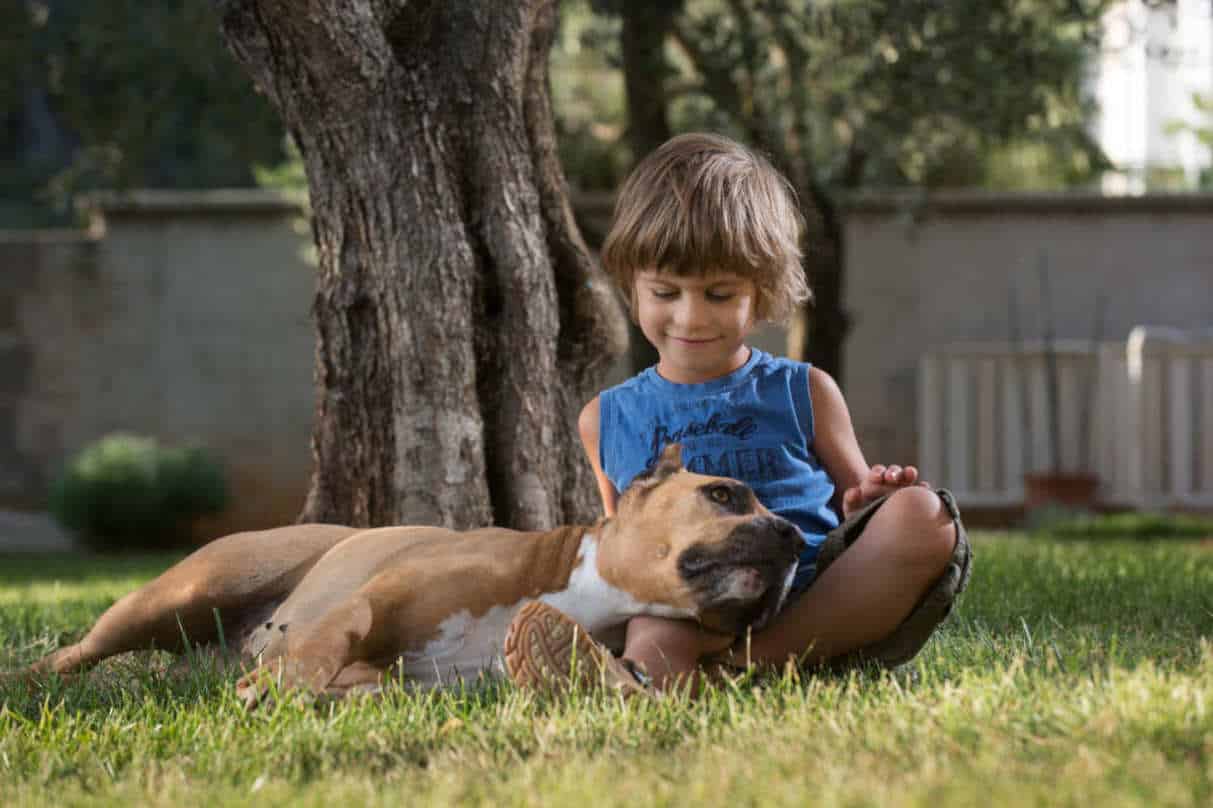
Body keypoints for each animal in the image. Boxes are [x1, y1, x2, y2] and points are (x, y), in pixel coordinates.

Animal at [11, 444, 805, 703]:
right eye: (725, 494)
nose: (796, 534)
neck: (579, 591)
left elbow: (365, 681)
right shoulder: (361, 605)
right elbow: (322, 648)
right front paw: (286, 687)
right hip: (185, 592)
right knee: (79, 650)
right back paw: (25, 679)